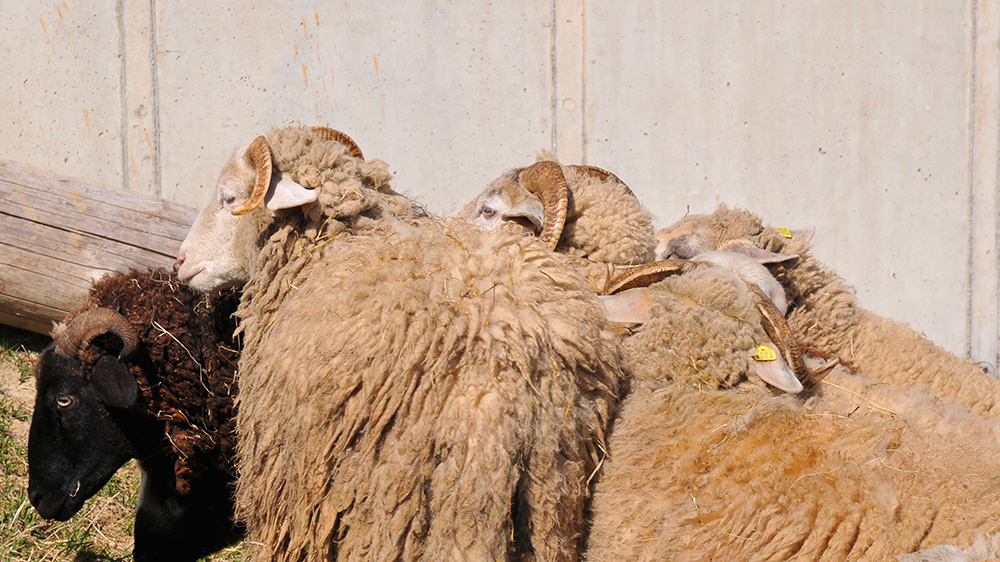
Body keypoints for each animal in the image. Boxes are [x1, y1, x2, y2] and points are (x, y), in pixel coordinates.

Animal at [176, 125, 624, 561]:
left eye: (229, 198)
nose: (180, 262)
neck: (327, 249)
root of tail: (526, 360)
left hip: (427, 492)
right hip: (552, 488)